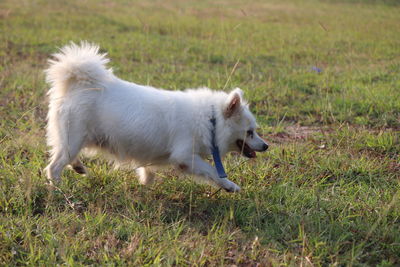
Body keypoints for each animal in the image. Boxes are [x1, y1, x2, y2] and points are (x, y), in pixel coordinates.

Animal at [44, 42, 268, 193]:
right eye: (250, 132)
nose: (266, 146)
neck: (210, 120)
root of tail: (78, 83)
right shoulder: (185, 157)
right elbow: (213, 171)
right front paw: (229, 185)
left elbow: (147, 171)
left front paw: (145, 183)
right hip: (74, 138)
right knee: (54, 166)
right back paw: (58, 188)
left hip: (74, 140)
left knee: (64, 157)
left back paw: (77, 167)